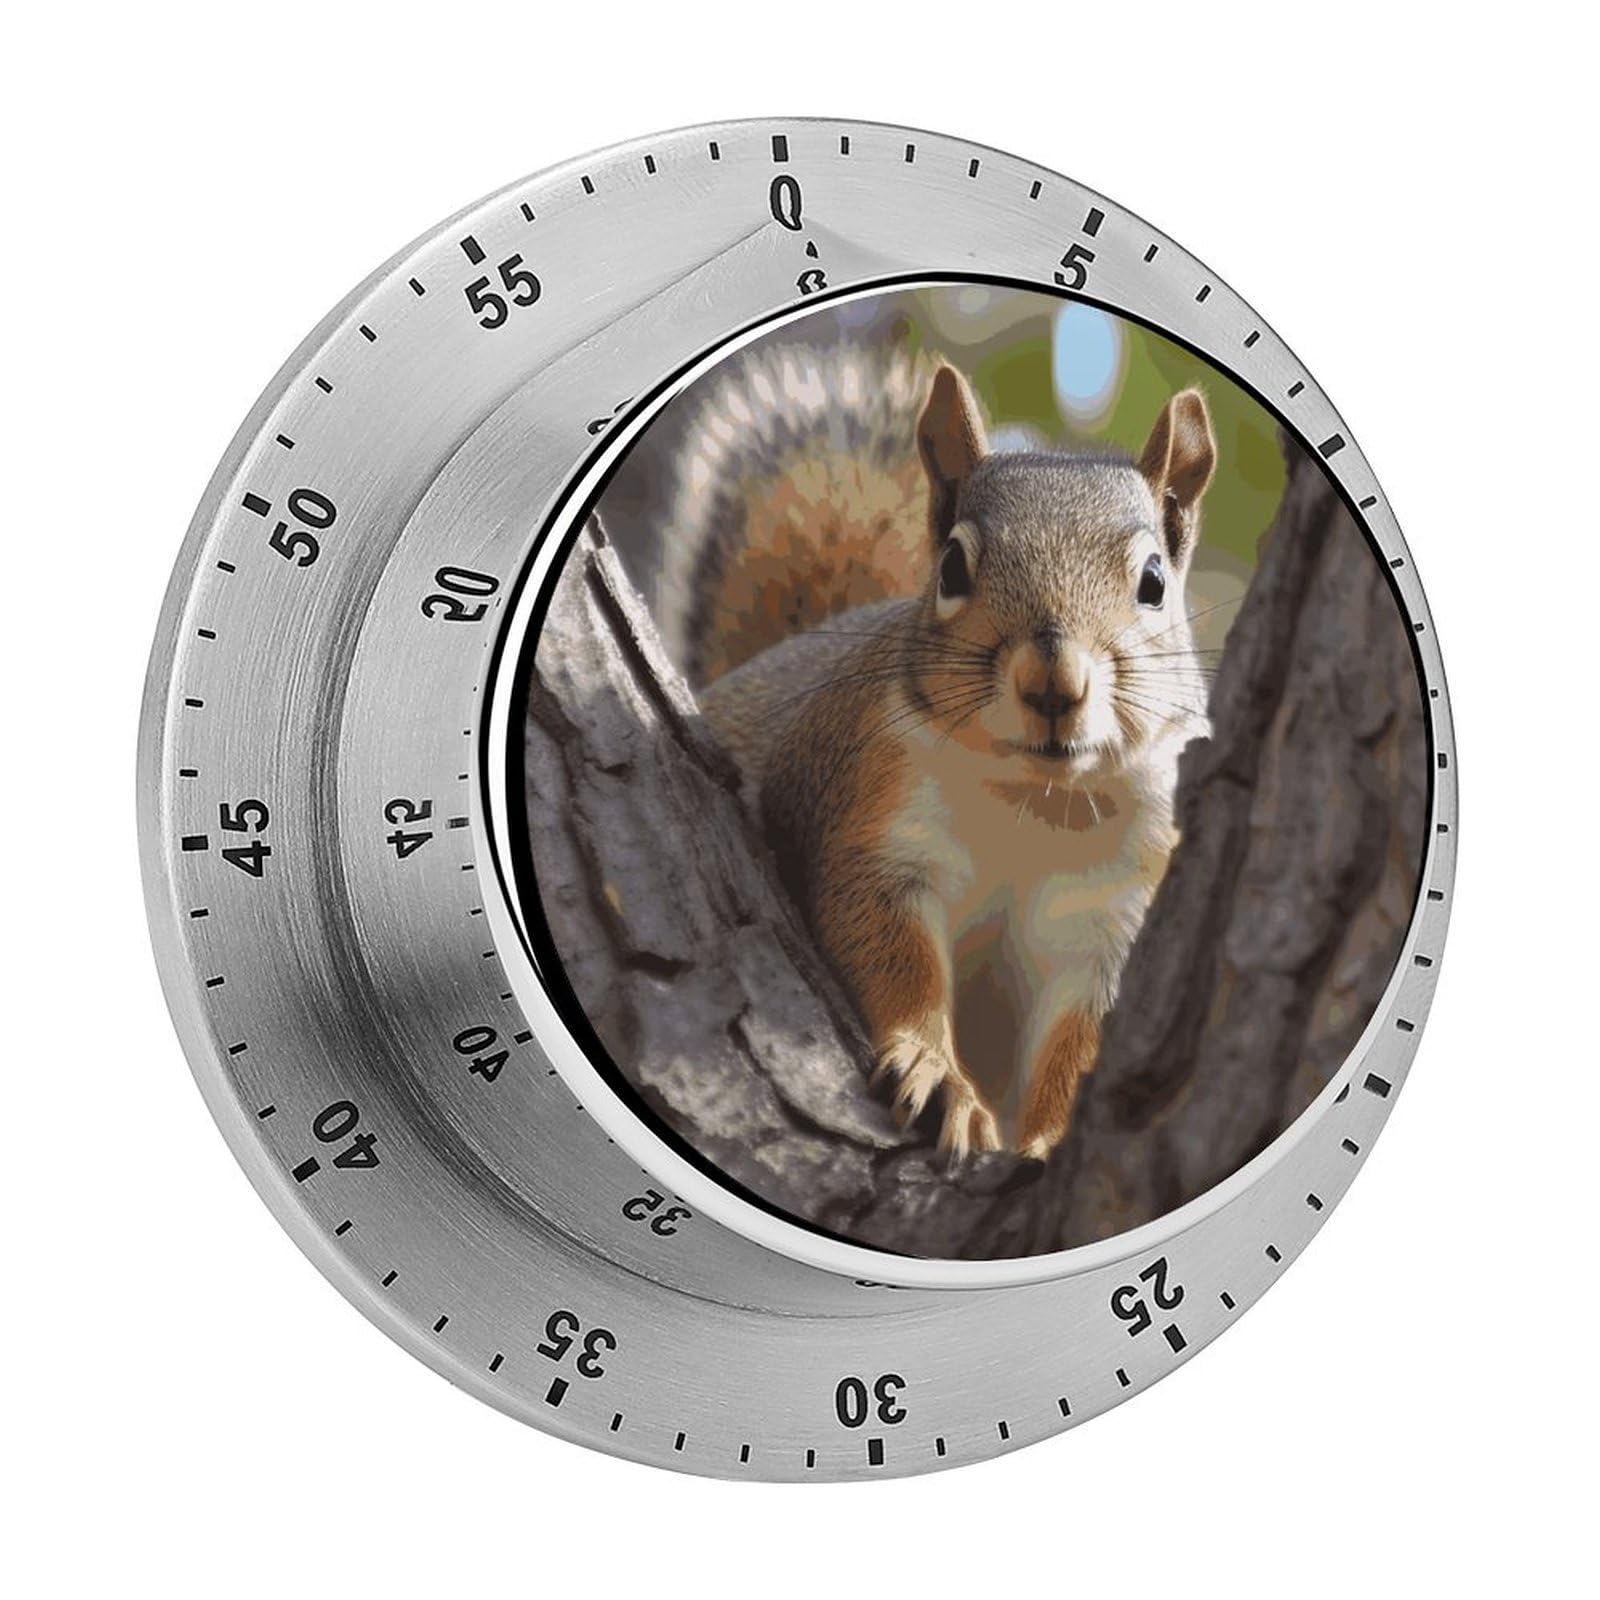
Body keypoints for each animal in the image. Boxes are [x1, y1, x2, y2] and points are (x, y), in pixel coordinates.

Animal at [657, 339, 1217, 1159]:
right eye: (952, 567)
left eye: (1153, 582)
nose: (1054, 681)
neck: (1035, 800)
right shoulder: (880, 818)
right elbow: (892, 951)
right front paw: (938, 1075)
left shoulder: (1117, 907)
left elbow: (1084, 1036)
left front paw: (1050, 1140)